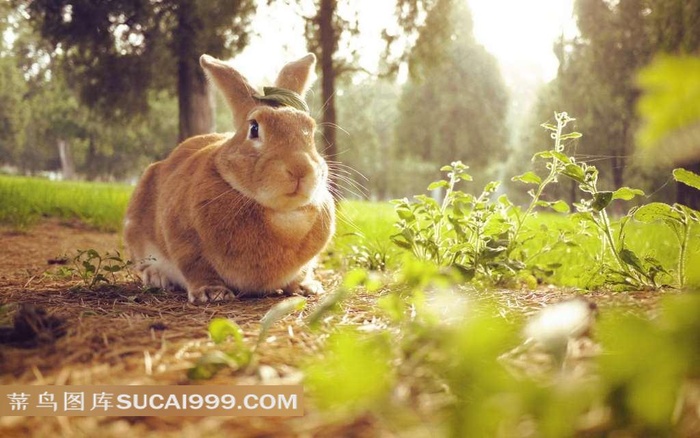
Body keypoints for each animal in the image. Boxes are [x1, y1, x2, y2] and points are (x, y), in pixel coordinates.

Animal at [123, 53, 336, 302]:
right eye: (254, 128)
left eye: (310, 130)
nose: (300, 168)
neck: (283, 214)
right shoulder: (184, 240)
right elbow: (196, 267)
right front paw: (212, 292)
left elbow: (301, 273)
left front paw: (307, 287)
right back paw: (157, 277)